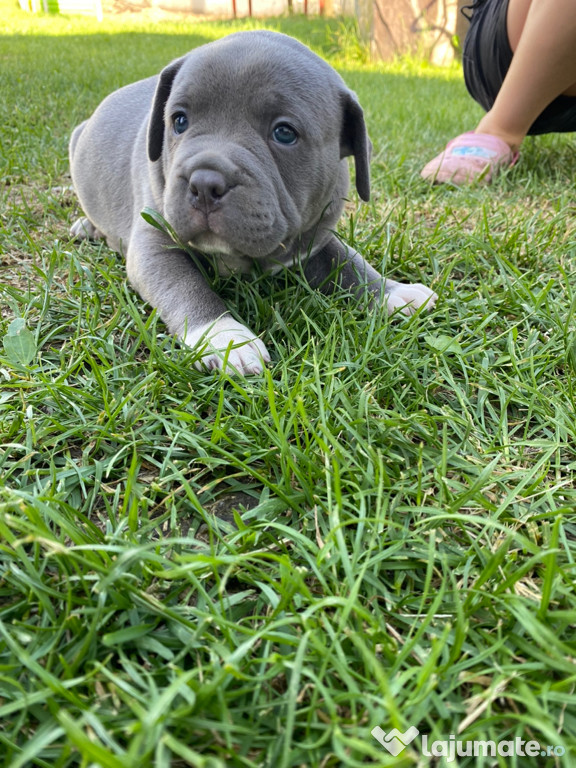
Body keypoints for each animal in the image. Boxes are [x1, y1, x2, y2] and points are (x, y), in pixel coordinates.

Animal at [68, 30, 436, 376]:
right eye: (179, 121)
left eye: (285, 133)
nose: (204, 183)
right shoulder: (155, 242)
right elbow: (184, 286)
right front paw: (225, 337)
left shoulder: (316, 237)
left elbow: (347, 261)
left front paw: (392, 292)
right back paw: (87, 226)